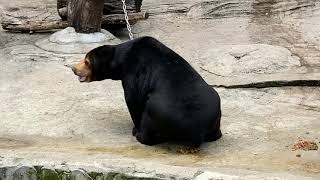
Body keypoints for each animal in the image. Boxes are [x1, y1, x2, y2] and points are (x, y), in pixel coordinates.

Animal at [69, 36, 221, 148]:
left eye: (86, 62)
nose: (74, 69)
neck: (120, 60)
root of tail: (198, 129)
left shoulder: (133, 73)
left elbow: (133, 99)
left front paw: (135, 129)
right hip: (216, 107)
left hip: (158, 111)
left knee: (149, 120)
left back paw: (141, 136)